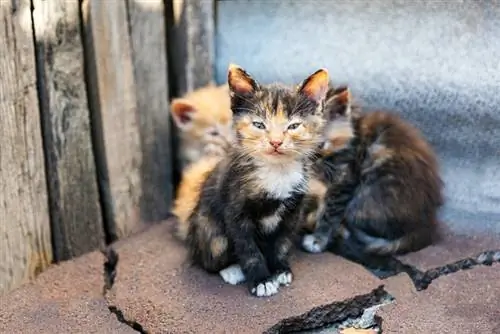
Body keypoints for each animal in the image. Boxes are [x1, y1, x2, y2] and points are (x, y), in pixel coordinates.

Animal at [184, 64, 328, 296]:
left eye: (293, 126)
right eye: (259, 125)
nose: (276, 142)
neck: (277, 171)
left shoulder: (294, 211)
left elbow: (282, 242)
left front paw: (280, 269)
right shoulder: (235, 211)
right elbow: (248, 249)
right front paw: (262, 280)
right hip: (210, 231)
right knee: (208, 258)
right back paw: (231, 270)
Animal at [302, 86, 444, 256]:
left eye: (319, 145)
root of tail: (427, 222)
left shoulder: (344, 182)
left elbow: (330, 214)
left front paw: (319, 240)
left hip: (363, 198)